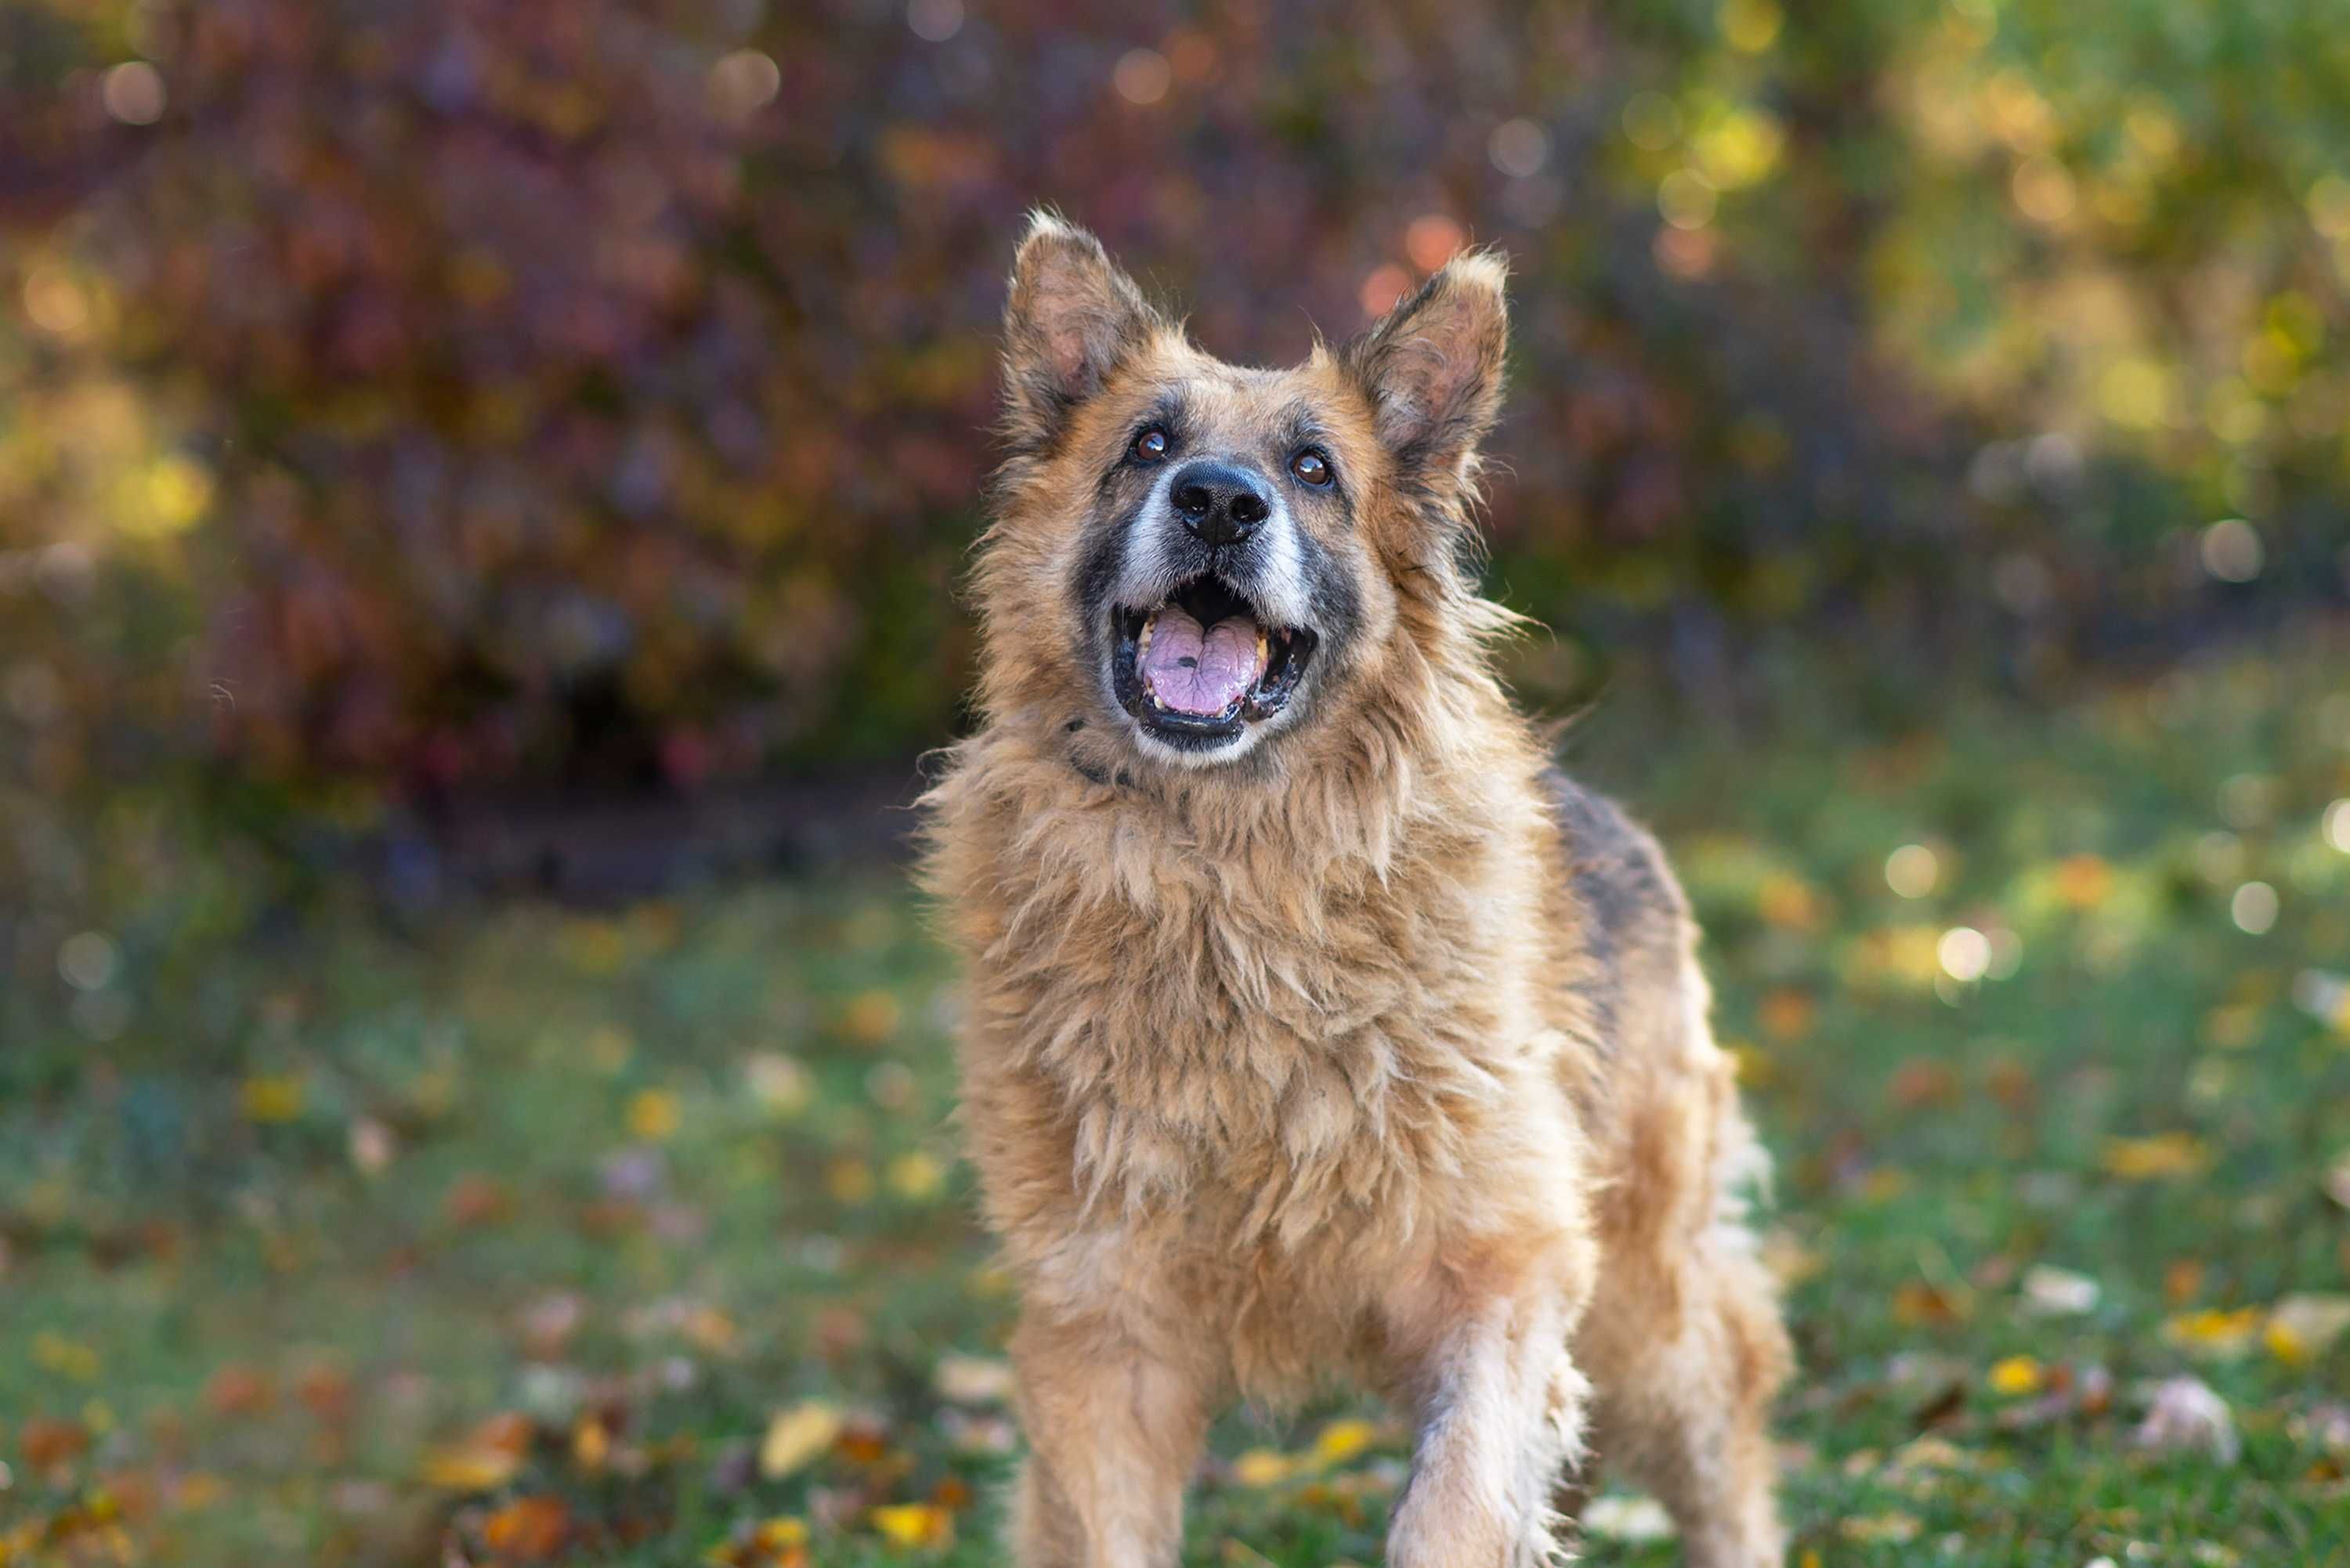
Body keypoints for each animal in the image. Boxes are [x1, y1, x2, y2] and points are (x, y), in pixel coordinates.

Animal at [926, 211, 1786, 1568]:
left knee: (1728, 1406)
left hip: (1648, 1297)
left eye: (1315, 468)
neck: (1231, 879)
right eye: (1148, 445)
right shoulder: (1102, 1335)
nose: (1218, 501)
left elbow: (1456, 1503)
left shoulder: (1506, 1265)